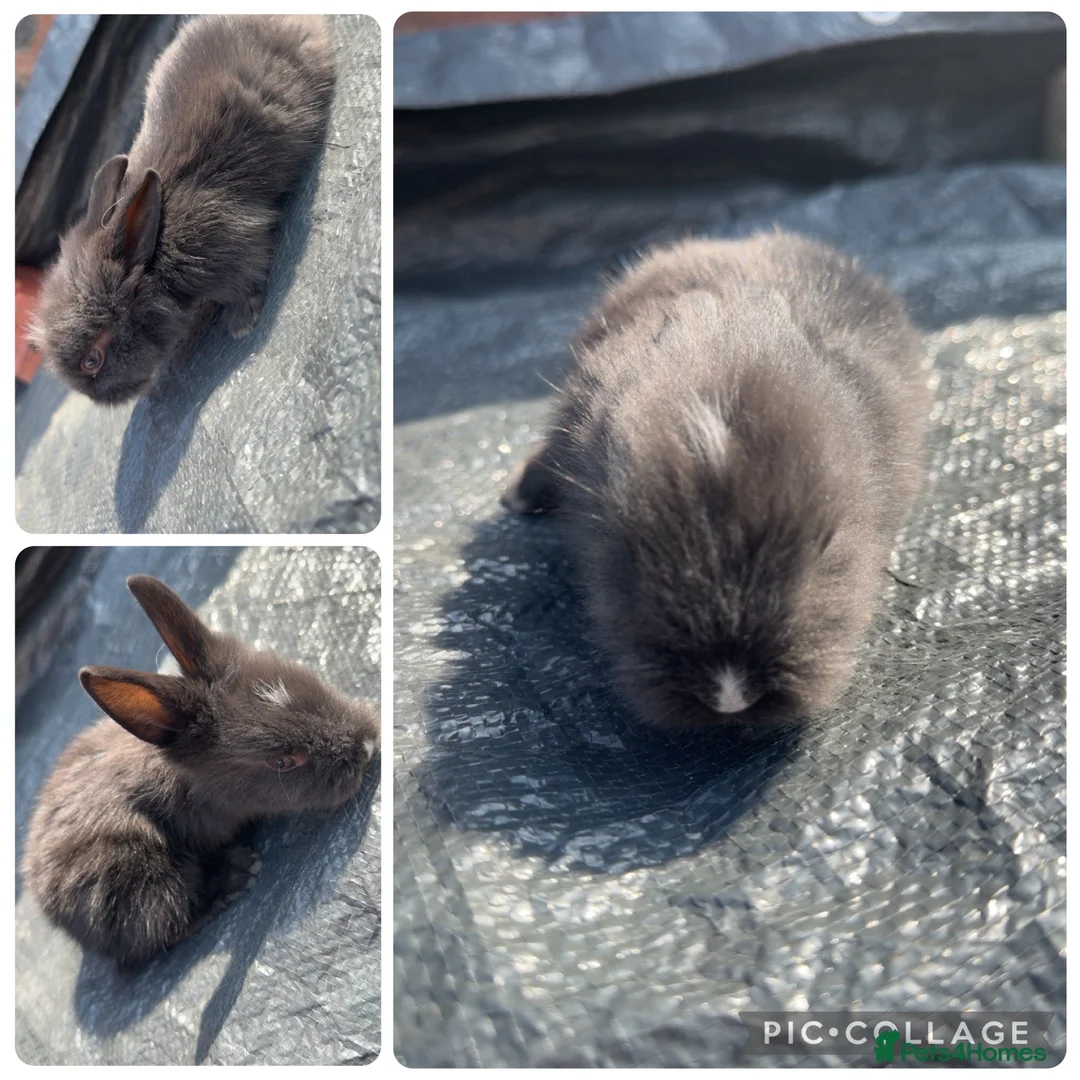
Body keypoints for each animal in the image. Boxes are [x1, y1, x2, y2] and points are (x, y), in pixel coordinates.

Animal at [30, 15, 336, 404]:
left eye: (92, 360)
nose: (101, 400)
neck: (154, 257)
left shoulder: (226, 242)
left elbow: (246, 276)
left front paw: (242, 324)